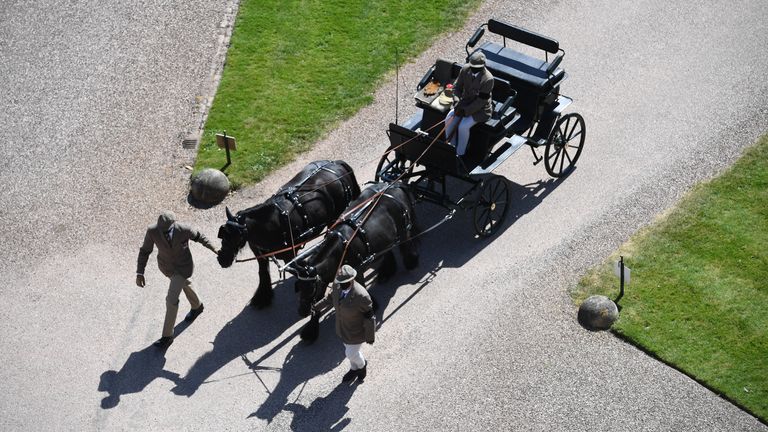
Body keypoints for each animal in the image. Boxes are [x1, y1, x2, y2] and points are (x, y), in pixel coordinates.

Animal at [216, 160, 360, 312]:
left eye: (235, 236)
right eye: (222, 235)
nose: (222, 259)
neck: (269, 224)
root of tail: (336, 164)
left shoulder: (289, 256)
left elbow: (299, 271)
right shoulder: (261, 255)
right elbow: (263, 272)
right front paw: (262, 297)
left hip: (336, 215)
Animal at [286, 181, 420, 340]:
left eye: (311, 289)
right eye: (299, 287)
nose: (302, 311)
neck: (339, 250)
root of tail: (396, 184)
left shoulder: (357, 269)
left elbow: (360, 287)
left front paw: (371, 305)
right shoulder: (328, 279)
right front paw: (311, 329)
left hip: (404, 227)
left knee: (406, 242)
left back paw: (411, 262)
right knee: (388, 248)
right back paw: (387, 271)